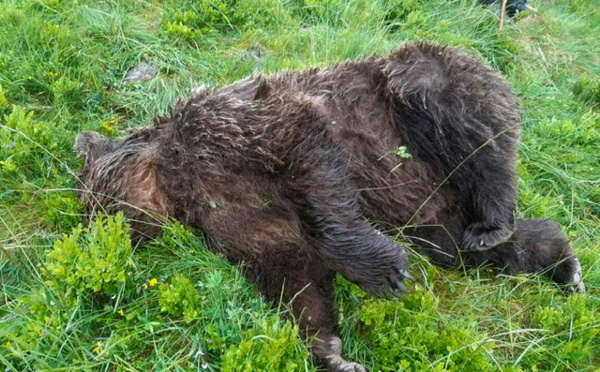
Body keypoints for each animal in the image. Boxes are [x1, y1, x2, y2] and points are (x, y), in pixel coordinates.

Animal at [72, 42, 584, 370]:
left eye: (95, 203)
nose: (99, 236)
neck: (178, 181)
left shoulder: (240, 127)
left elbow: (311, 163)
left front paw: (385, 273)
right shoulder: (231, 215)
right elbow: (290, 271)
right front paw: (331, 352)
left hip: (418, 94)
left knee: (464, 127)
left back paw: (495, 218)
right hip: (433, 211)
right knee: (460, 249)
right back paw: (560, 262)